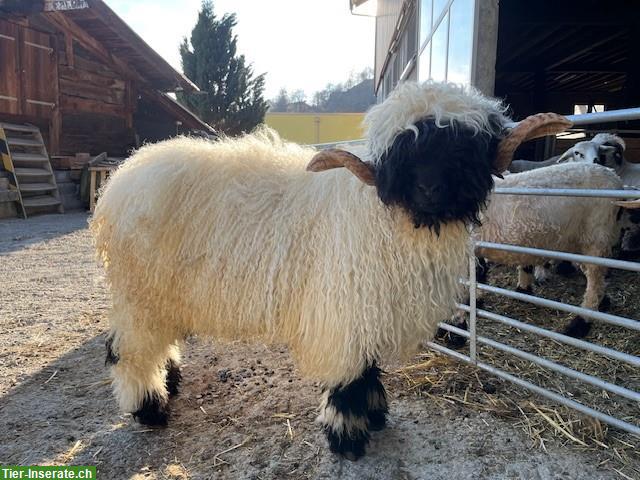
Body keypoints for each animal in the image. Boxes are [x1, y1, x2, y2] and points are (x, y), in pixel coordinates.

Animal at [91, 80, 568, 460]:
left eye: (464, 146)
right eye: (402, 152)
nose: (430, 189)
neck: (390, 219)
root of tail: (121, 179)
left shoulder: (369, 307)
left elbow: (369, 369)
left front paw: (375, 415)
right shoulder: (344, 308)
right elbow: (348, 377)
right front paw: (348, 439)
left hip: (163, 293)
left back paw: (170, 380)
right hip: (140, 290)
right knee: (125, 350)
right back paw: (149, 408)